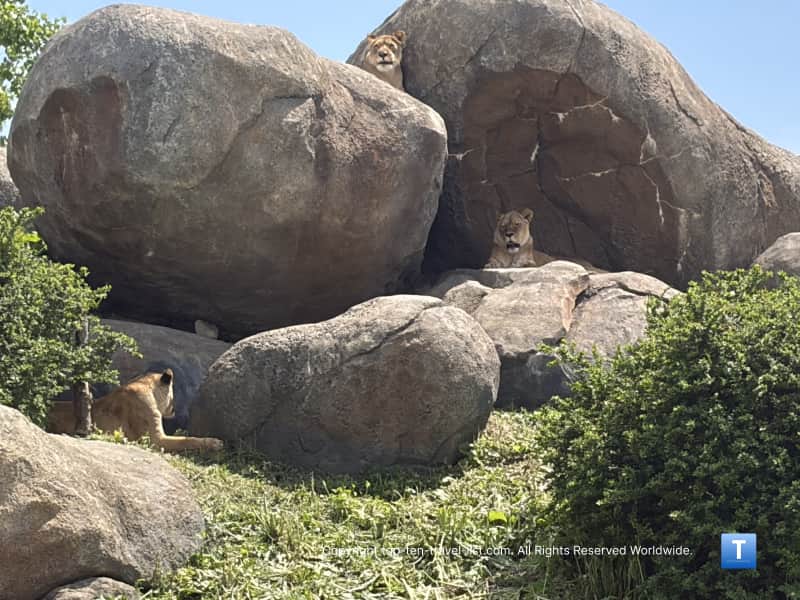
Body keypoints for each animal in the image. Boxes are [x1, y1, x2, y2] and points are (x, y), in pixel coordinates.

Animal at [47, 369, 223, 452]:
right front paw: (215, 443)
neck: (144, 385)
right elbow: (185, 440)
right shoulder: (154, 440)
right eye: (173, 394)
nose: (175, 408)